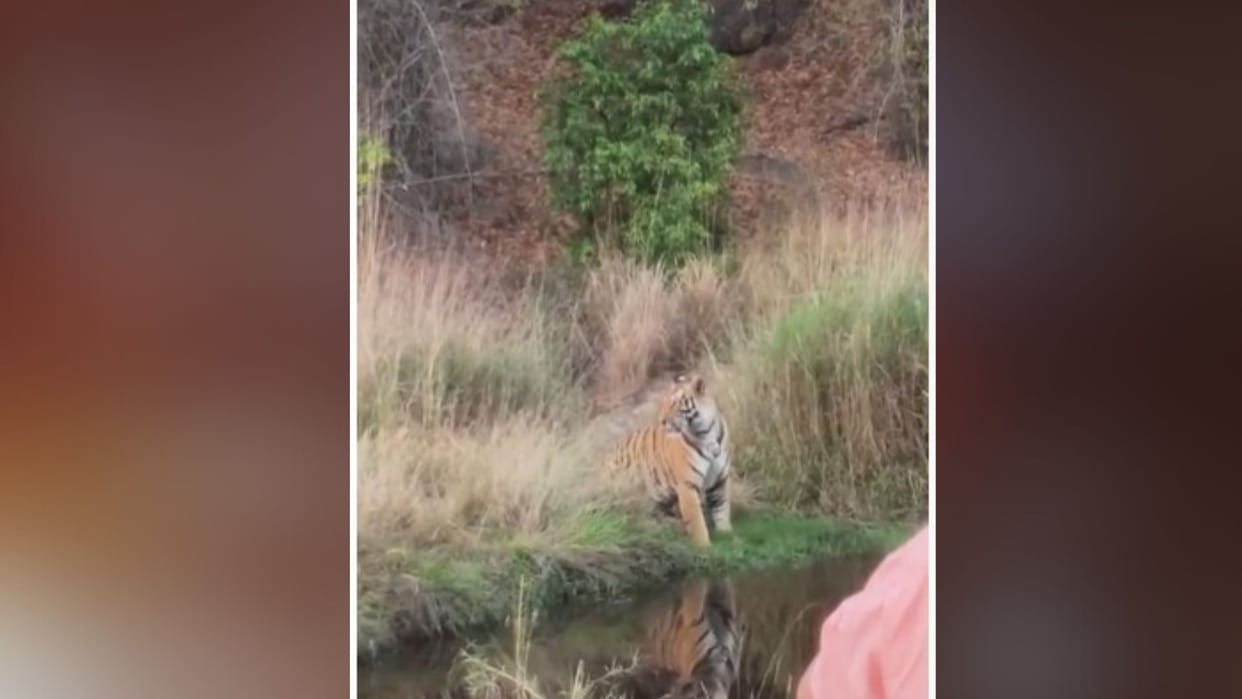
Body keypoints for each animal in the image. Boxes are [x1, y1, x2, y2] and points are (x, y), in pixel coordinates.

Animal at [605, 373, 732, 547]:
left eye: (676, 403)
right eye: (664, 403)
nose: (661, 420)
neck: (706, 432)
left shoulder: (719, 480)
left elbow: (722, 510)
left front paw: (729, 536)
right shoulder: (687, 486)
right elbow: (697, 521)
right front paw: (705, 547)